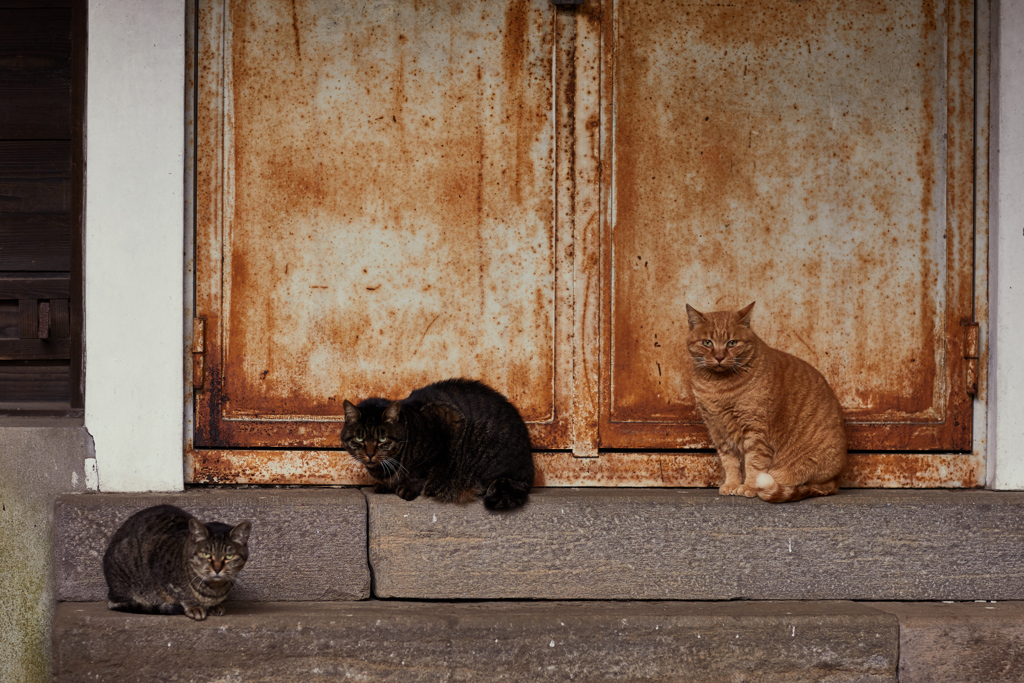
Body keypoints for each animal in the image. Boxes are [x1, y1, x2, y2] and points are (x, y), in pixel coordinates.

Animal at [102, 507, 251, 618]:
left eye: (229, 556)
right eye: (206, 554)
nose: (217, 569)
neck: (214, 589)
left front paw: (213, 606)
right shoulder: (158, 563)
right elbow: (181, 593)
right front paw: (194, 606)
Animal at [344, 376, 536, 509]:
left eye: (382, 439)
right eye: (359, 439)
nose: (370, 454)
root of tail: (528, 466)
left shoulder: (445, 424)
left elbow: (422, 471)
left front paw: (408, 487)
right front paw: (385, 485)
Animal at [684, 303, 843, 501]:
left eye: (732, 343)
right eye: (707, 343)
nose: (719, 357)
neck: (717, 387)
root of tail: (836, 481)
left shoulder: (755, 431)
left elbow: (754, 463)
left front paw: (749, 487)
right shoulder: (718, 430)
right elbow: (730, 462)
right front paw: (732, 484)